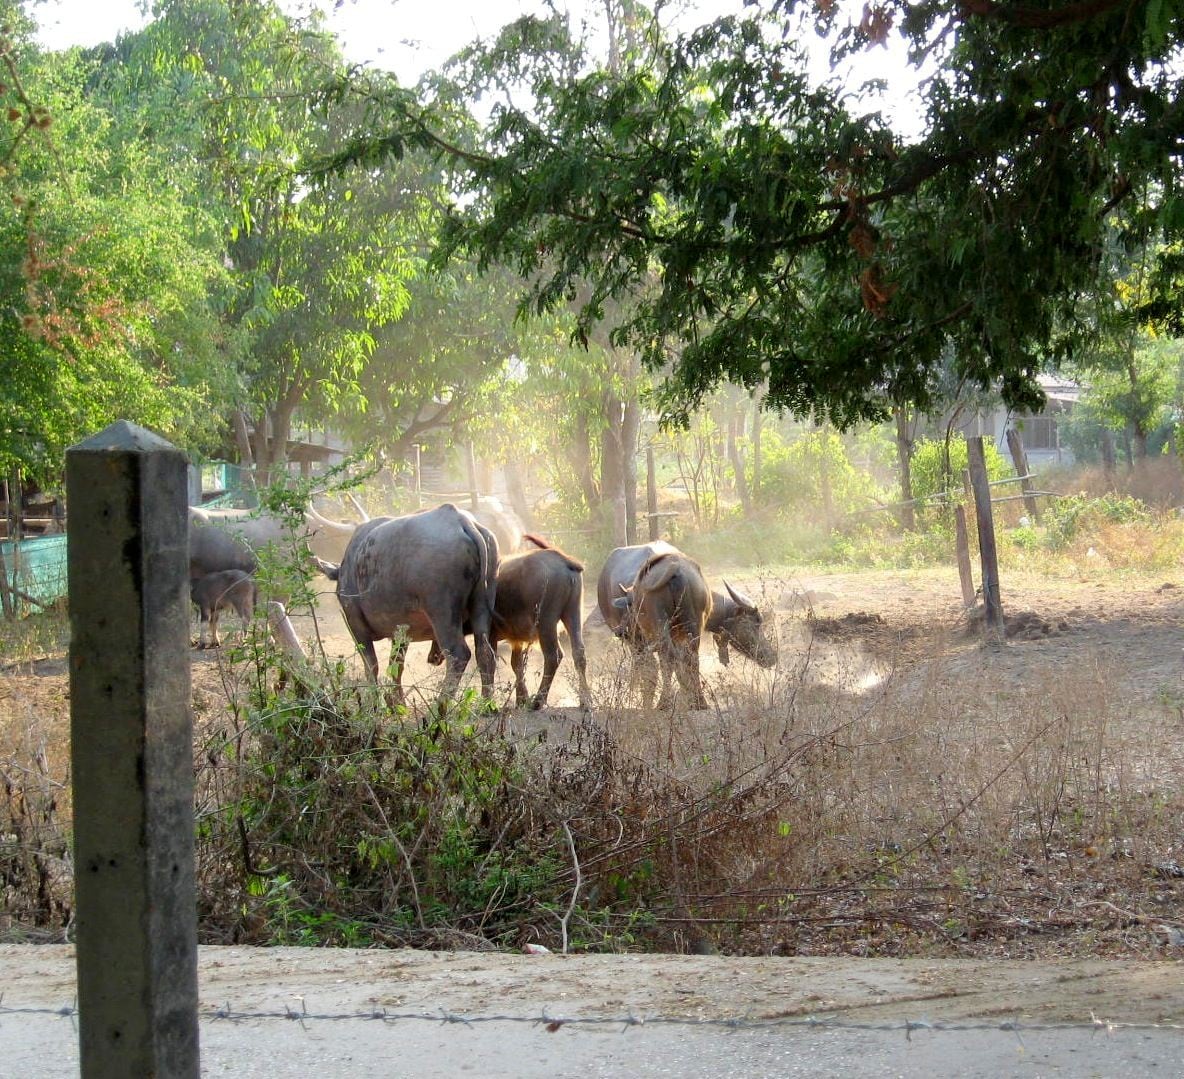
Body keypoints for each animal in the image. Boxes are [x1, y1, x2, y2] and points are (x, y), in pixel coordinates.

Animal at [324, 506, 499, 710]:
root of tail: (462, 521)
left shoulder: (356, 626)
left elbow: (371, 665)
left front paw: (375, 704)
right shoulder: (401, 634)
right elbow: (396, 665)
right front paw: (397, 703)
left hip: (442, 613)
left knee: (459, 654)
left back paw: (440, 705)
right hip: (483, 604)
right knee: (485, 652)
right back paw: (487, 703)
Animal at [492, 535, 589, 715]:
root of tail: (563, 560)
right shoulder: (517, 639)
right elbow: (517, 664)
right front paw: (521, 699)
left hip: (546, 622)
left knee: (553, 656)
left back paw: (538, 701)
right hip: (573, 612)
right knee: (579, 653)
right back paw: (586, 700)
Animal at [596, 544, 781, 715]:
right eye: (757, 621)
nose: (771, 656)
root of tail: (674, 568)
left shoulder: (641, 643)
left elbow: (654, 669)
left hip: (658, 626)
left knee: (667, 659)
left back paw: (666, 703)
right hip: (691, 623)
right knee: (690, 658)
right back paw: (698, 702)